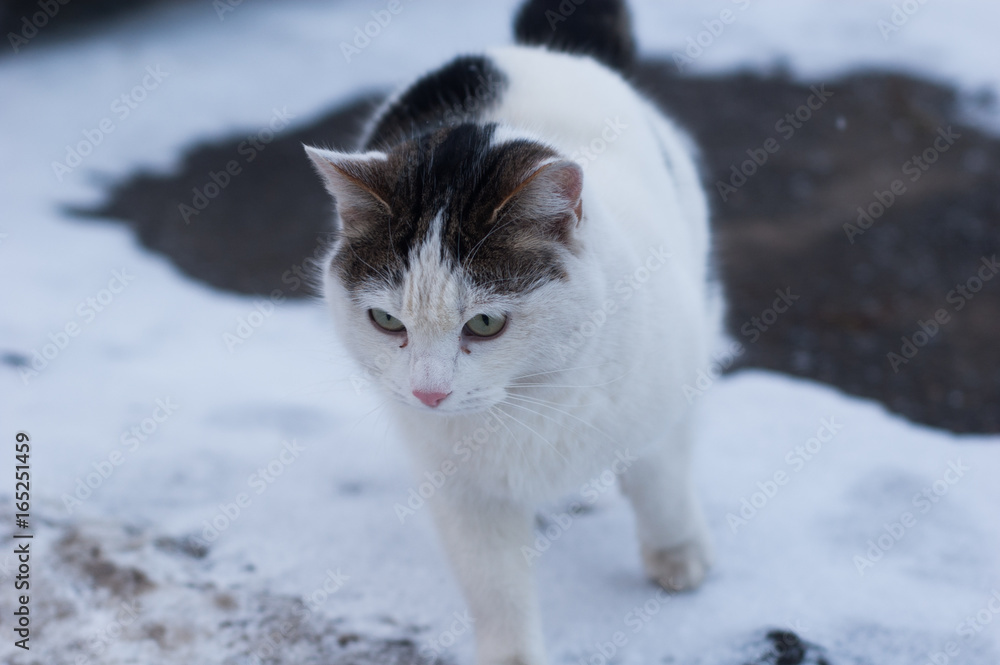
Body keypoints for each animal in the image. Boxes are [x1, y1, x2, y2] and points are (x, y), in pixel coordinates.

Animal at [304, 1, 720, 664]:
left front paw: (677, 555)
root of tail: (543, 50)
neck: (529, 401)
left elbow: (663, 484)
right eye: (387, 320)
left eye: (485, 322)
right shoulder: (463, 492)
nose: (428, 393)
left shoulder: (668, 400)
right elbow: (494, 587)